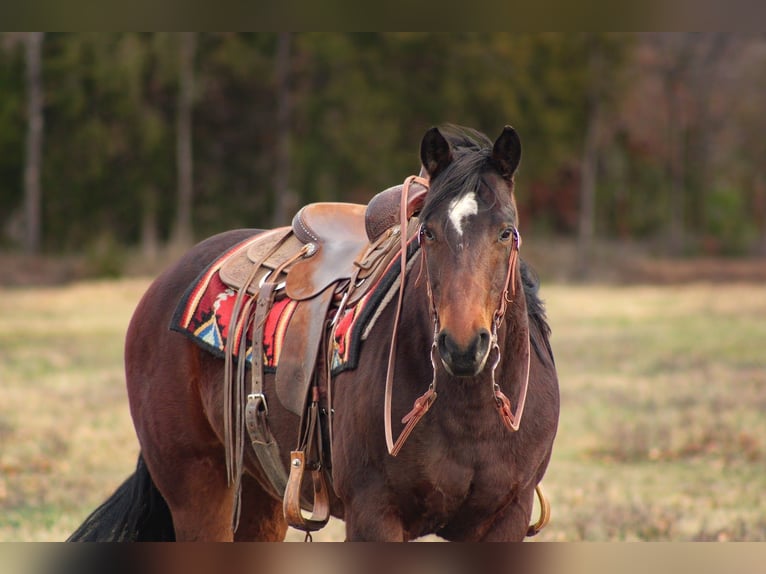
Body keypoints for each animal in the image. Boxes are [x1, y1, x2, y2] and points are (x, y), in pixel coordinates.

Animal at [68, 124, 559, 542]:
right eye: (428, 233)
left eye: (506, 233)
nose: (462, 346)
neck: (469, 412)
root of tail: (164, 284)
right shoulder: (373, 514)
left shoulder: (505, 517)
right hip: (197, 491)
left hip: (260, 499)